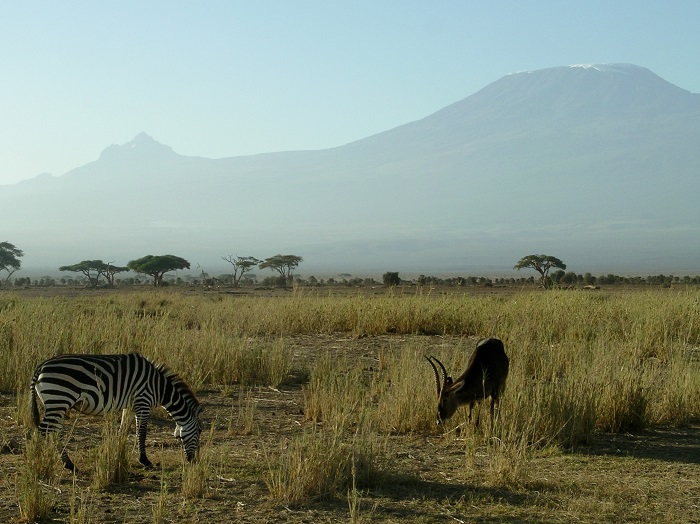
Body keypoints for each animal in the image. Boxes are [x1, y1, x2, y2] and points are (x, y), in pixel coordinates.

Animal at [31, 352, 204, 470]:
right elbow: (142, 432)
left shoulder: (131, 406)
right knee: (43, 430)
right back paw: (41, 460)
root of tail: (41, 366)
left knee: (55, 431)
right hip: (59, 398)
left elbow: (123, 430)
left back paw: (68, 463)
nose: (194, 460)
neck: (159, 387)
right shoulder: (143, 400)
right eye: (200, 431)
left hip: (58, 403)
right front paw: (144, 460)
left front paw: (117, 453)